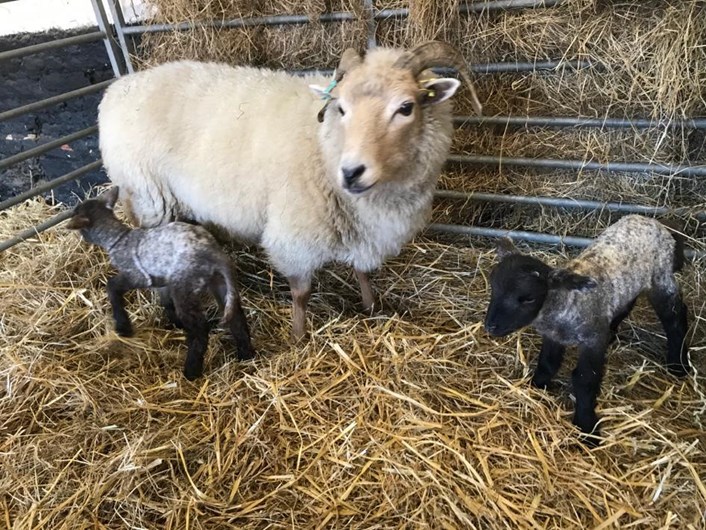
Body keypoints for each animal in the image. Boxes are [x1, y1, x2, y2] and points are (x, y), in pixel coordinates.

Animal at [67, 188, 254, 378]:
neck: (118, 238)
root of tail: (214, 255)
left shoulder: (137, 275)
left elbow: (112, 286)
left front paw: (123, 327)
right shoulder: (162, 280)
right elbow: (165, 302)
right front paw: (175, 323)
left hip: (185, 285)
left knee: (200, 330)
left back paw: (191, 371)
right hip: (219, 283)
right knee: (235, 316)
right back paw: (246, 355)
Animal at [99, 41, 482, 338]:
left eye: (406, 107)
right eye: (341, 108)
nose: (351, 173)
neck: (323, 145)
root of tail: (118, 87)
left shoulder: (361, 229)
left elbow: (361, 271)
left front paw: (371, 306)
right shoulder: (296, 232)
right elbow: (302, 292)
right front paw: (299, 337)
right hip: (149, 196)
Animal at [484, 213, 688, 442]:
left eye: (528, 298)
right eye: (493, 288)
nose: (490, 326)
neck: (565, 303)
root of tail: (657, 222)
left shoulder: (593, 340)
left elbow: (585, 380)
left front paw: (587, 427)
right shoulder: (553, 337)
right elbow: (547, 363)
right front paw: (537, 386)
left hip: (661, 279)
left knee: (675, 318)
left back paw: (678, 364)